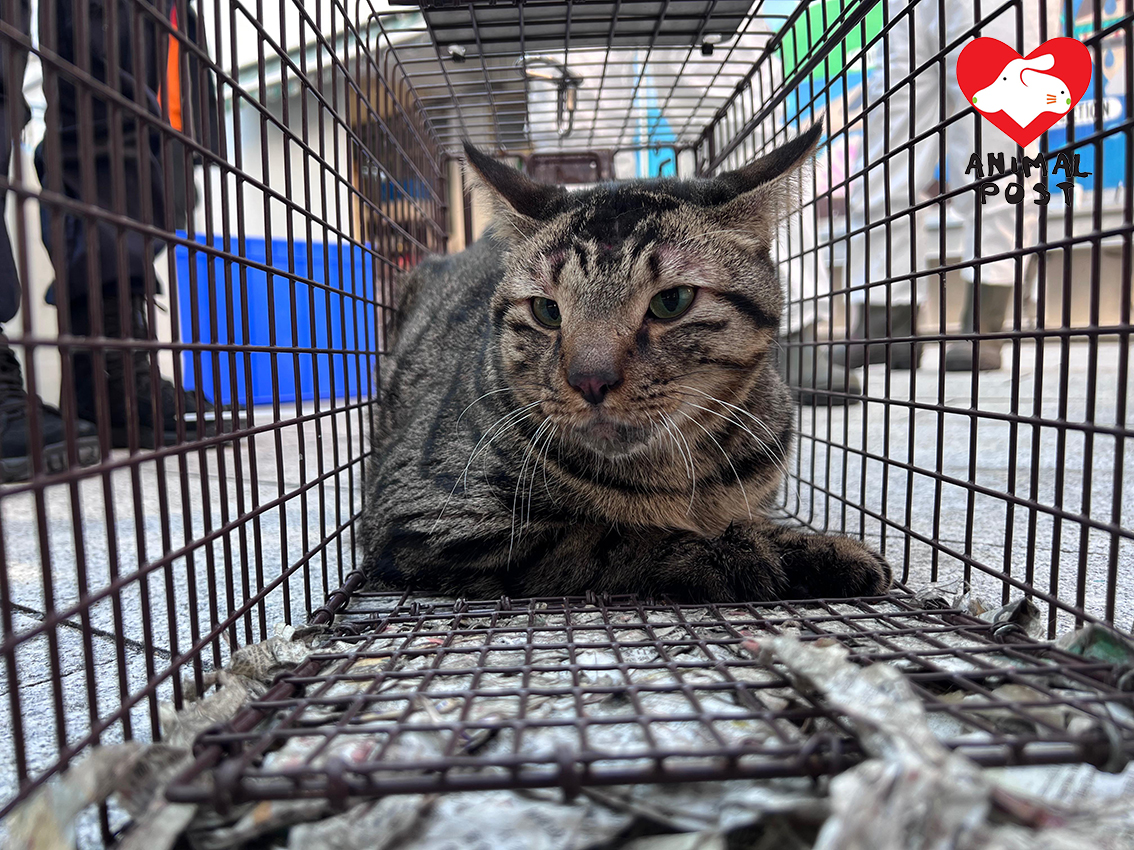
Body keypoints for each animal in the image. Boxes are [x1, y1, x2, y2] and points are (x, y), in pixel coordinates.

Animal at [361, 123, 891, 602]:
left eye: (672, 301)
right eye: (547, 310)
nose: (590, 380)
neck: (674, 475)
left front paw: (817, 548)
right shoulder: (430, 512)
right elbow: (610, 536)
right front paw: (740, 551)